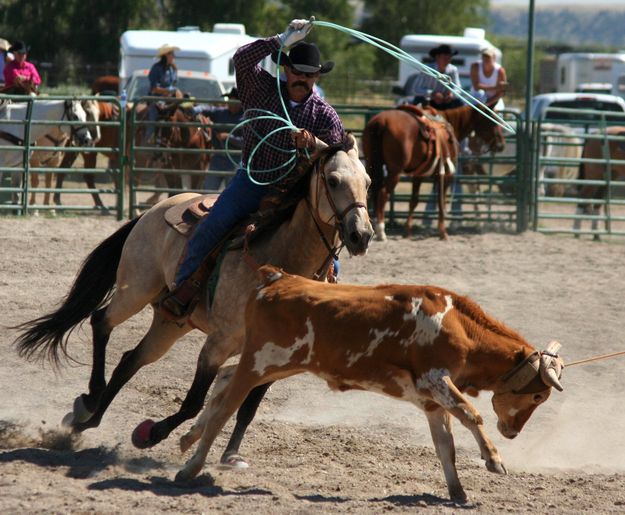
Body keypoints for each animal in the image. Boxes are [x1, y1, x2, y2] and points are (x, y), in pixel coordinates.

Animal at [14, 136, 372, 468]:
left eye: (368, 182)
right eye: (333, 180)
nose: (362, 235)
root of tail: (153, 210)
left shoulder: (278, 353)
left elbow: (247, 406)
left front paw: (231, 454)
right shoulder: (218, 343)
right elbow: (194, 402)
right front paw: (149, 434)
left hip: (171, 323)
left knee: (130, 360)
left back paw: (86, 420)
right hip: (136, 289)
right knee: (101, 321)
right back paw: (91, 397)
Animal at [177, 266, 564, 504]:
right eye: (537, 395)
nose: (513, 432)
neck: (458, 325)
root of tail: (276, 278)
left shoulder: (432, 401)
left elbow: (446, 446)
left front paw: (458, 493)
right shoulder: (435, 378)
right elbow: (472, 415)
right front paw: (494, 460)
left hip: (277, 364)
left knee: (224, 378)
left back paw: (187, 438)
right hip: (260, 362)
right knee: (225, 408)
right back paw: (190, 467)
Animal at [364, 101, 504, 242]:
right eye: (493, 120)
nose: (501, 145)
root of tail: (381, 122)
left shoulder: (418, 175)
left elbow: (413, 201)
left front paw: (407, 231)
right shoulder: (446, 174)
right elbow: (441, 202)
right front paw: (443, 233)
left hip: (372, 165)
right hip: (395, 172)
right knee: (383, 194)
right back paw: (381, 231)